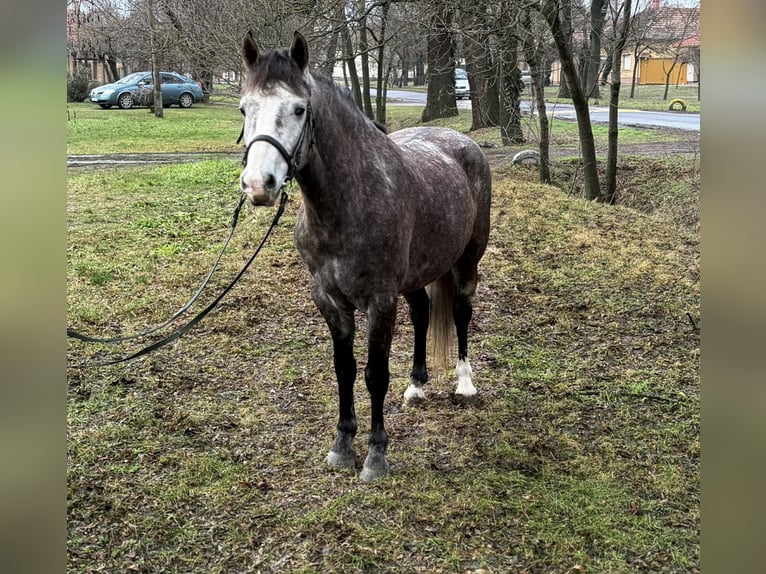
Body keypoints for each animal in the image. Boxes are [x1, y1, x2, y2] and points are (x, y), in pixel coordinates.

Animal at [238, 31, 492, 481]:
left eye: (299, 109)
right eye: (244, 108)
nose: (257, 184)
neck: (349, 202)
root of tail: (463, 143)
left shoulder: (379, 300)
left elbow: (375, 375)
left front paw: (376, 455)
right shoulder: (330, 300)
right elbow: (345, 369)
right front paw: (342, 446)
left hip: (466, 263)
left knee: (461, 313)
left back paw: (464, 384)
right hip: (416, 276)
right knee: (423, 312)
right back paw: (417, 386)